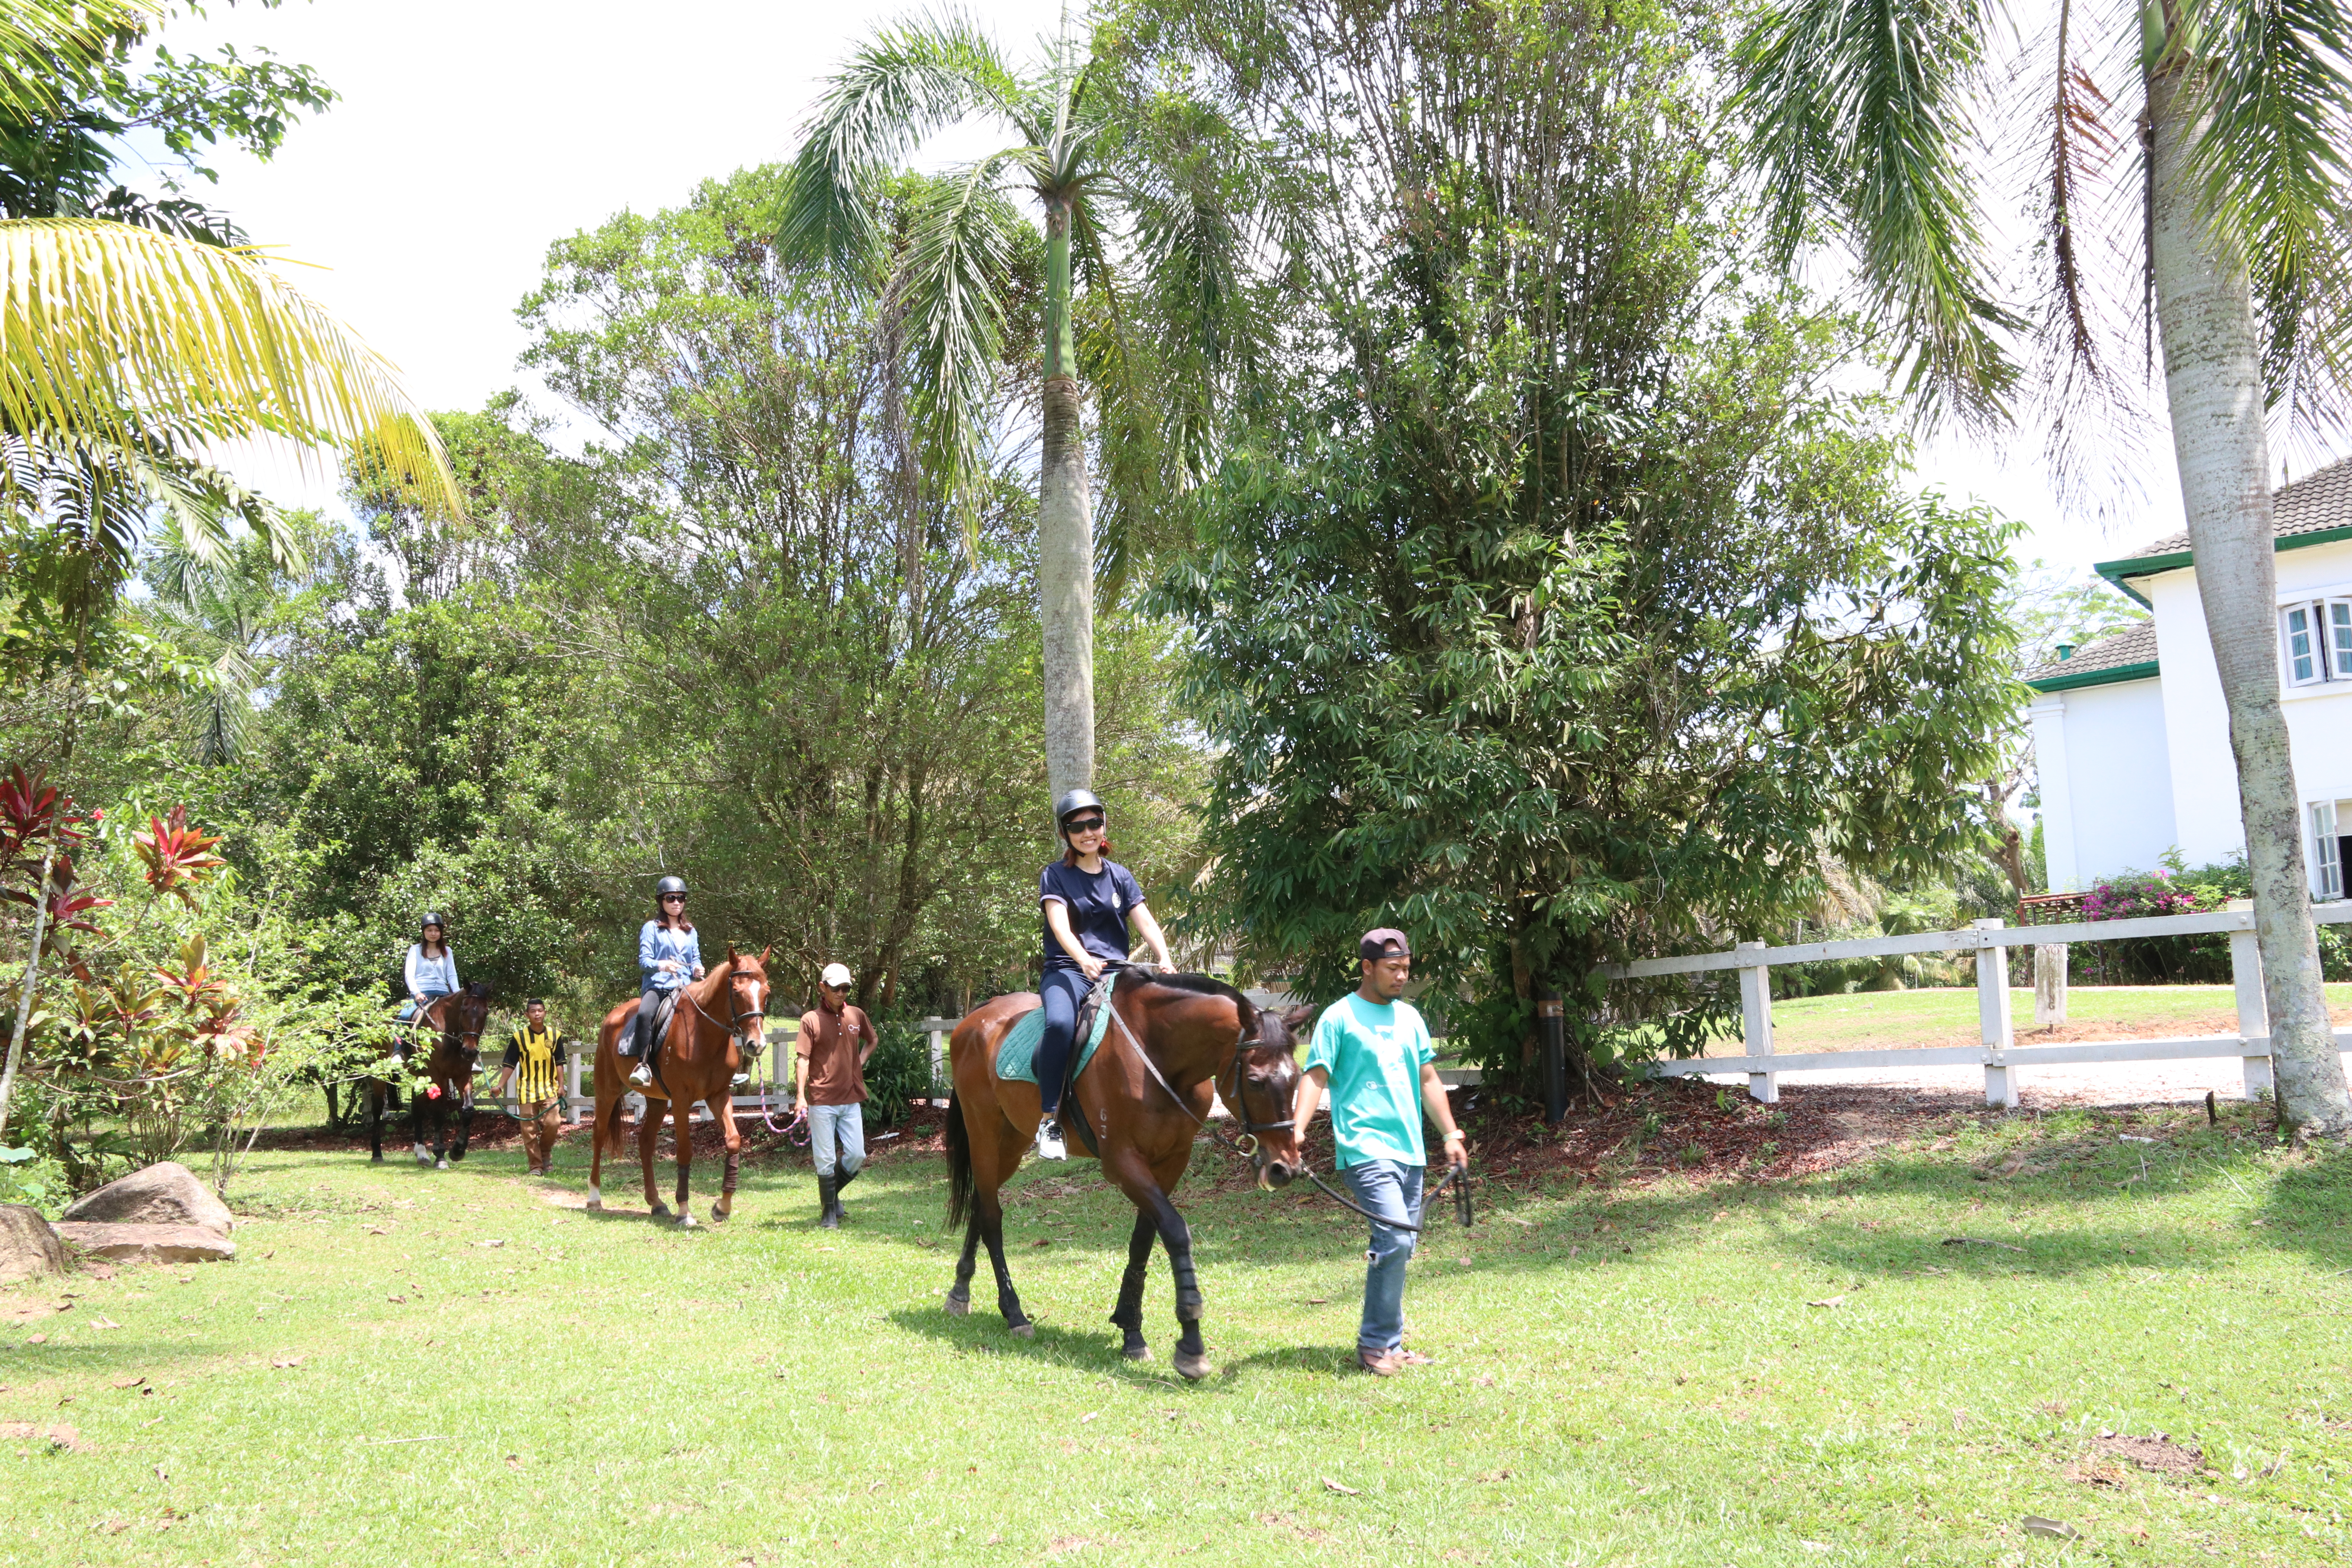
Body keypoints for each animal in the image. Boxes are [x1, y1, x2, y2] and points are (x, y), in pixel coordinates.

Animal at [365, 983, 492, 1168]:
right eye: (464, 1009)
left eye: (485, 1012)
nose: (469, 1051)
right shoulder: (437, 1076)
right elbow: (439, 1112)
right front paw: (440, 1156)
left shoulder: (462, 1076)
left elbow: (468, 1110)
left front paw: (458, 1151)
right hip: (381, 1075)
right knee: (377, 1108)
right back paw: (377, 1153)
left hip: (417, 1077)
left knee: (417, 1110)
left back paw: (421, 1154)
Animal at [587, 946, 769, 1228]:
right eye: (738, 993)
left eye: (766, 993)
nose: (756, 1045)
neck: (703, 1034)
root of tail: (612, 1017)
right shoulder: (682, 1100)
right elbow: (685, 1151)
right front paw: (685, 1211)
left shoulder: (719, 1096)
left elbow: (733, 1141)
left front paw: (723, 1207)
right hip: (607, 1091)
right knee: (598, 1134)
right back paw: (594, 1198)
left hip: (657, 1100)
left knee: (646, 1142)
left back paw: (656, 1203)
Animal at [943, 967, 1306, 1380]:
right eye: (1256, 1081)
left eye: (1297, 1077)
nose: (1284, 1168)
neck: (1158, 1059)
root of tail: (975, 1019)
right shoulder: (1122, 1163)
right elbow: (1176, 1231)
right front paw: (1191, 1343)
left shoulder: (1171, 1162)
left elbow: (1143, 1241)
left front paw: (1131, 1331)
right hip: (984, 1135)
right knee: (991, 1216)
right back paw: (1014, 1313)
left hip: (1011, 1144)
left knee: (980, 1203)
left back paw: (960, 1292)